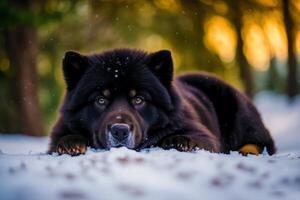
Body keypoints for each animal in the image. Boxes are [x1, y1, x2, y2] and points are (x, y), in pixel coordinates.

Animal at [48, 48, 276, 156]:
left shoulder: (205, 136)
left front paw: (178, 140)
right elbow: (65, 137)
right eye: (101, 100)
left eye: (139, 99)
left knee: (263, 143)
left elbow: (189, 137)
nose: (120, 131)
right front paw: (70, 143)